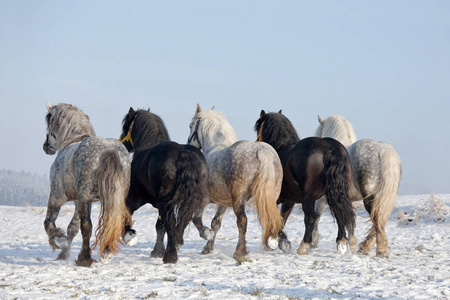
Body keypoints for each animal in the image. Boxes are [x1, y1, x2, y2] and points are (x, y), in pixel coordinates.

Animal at [120, 108, 210, 262]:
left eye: (126, 126)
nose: (122, 142)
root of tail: (183, 153)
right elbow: (160, 226)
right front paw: (157, 251)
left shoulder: (136, 198)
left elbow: (128, 212)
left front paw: (130, 237)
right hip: (190, 201)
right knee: (183, 222)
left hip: (166, 202)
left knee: (172, 223)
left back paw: (170, 256)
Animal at [188, 103, 284, 260]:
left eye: (191, 125)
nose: (190, 144)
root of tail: (262, 152)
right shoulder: (222, 203)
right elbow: (215, 223)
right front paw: (208, 247)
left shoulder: (204, 199)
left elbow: (196, 219)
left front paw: (206, 235)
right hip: (271, 197)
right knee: (275, 218)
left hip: (239, 200)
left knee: (242, 221)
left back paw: (240, 251)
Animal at [314, 115, 402, 258]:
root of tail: (382, 150)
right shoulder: (348, 199)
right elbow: (349, 218)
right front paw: (351, 243)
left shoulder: (327, 198)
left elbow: (324, 215)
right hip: (386, 196)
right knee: (381, 217)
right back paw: (367, 247)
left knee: (376, 217)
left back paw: (380, 249)